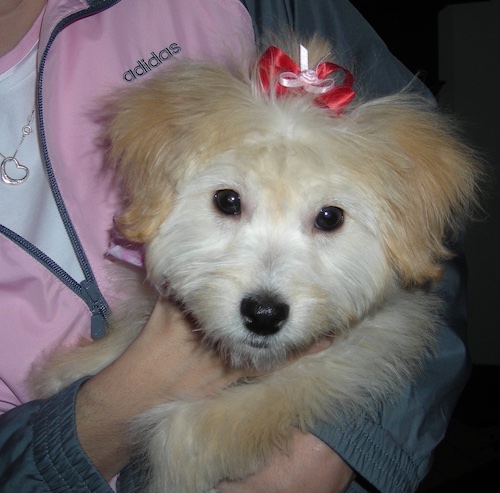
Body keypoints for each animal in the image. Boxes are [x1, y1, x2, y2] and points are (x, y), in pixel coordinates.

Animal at [29, 34, 482, 492]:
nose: (264, 315)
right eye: (227, 200)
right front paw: (72, 369)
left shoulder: (347, 358)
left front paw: (176, 465)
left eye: (329, 217)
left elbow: (209, 426)